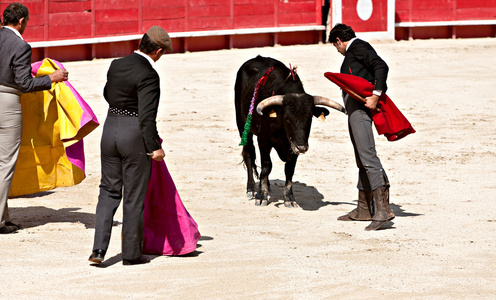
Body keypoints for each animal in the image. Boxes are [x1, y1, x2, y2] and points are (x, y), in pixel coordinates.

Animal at [235, 55, 344, 207]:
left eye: (309, 118)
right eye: (287, 117)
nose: (302, 148)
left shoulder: (294, 144)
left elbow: (289, 169)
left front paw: (289, 198)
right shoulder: (263, 139)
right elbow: (266, 165)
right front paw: (262, 196)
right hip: (242, 125)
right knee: (248, 154)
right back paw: (251, 189)